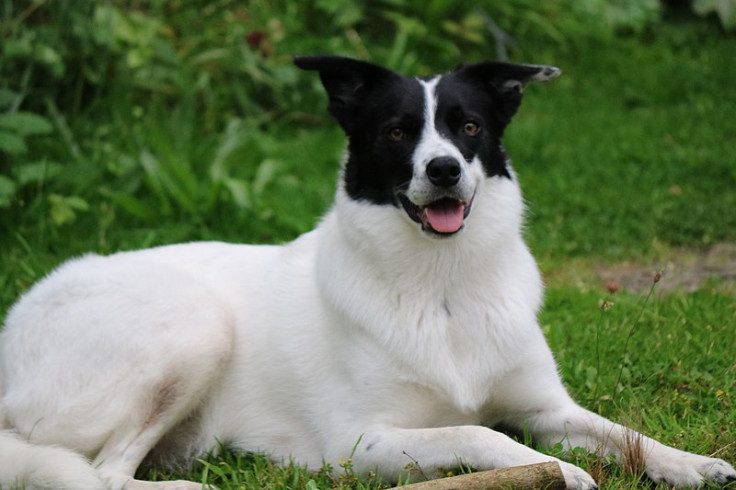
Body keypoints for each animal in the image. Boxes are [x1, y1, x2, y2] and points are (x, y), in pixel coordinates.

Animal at [0, 55, 732, 490]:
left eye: (469, 125)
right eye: (397, 132)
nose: (445, 170)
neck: (443, 288)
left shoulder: (550, 408)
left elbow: (625, 434)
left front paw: (691, 464)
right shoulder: (360, 442)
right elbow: (478, 430)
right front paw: (557, 471)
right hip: (195, 328)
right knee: (102, 473)